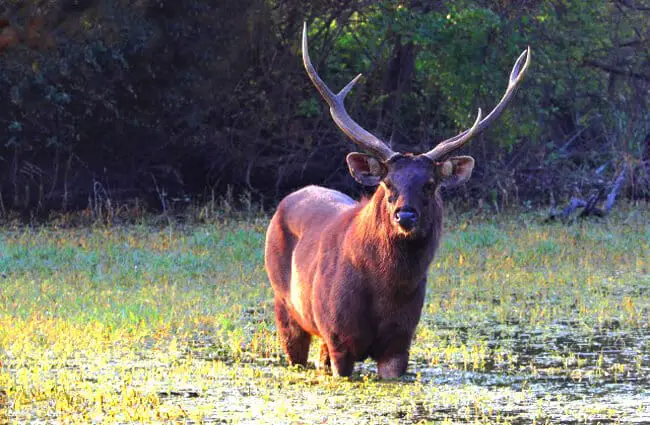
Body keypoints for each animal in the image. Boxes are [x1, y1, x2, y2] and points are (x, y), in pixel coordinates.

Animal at [262, 23, 528, 376]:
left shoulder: (399, 344)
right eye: (387, 184)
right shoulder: (338, 337)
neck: (384, 290)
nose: (406, 216)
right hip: (285, 307)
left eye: (430, 184)